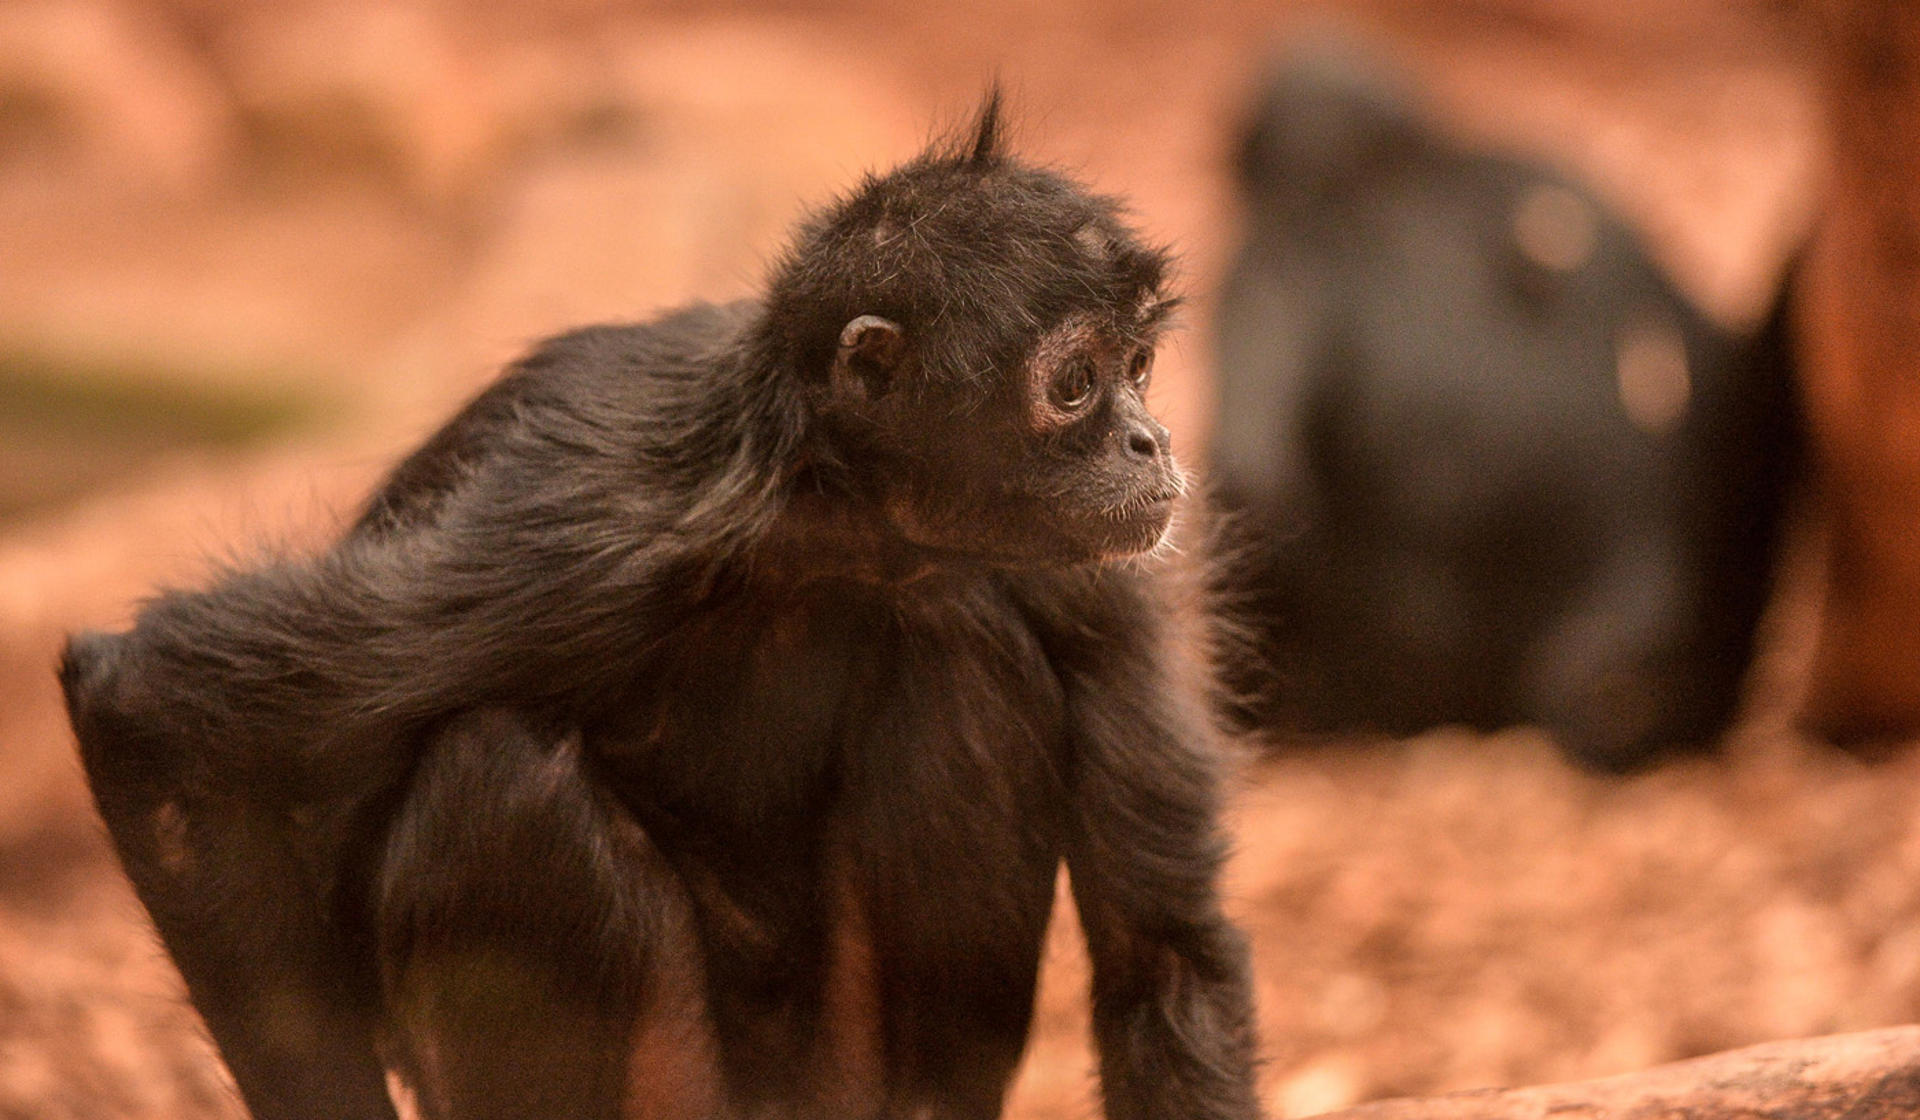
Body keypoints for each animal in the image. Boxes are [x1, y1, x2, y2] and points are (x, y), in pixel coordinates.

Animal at [58, 97, 1264, 1120]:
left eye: (1141, 366)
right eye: (1075, 383)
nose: (1150, 442)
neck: (843, 531)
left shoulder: (1098, 569)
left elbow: (1165, 952)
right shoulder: (585, 524)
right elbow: (144, 700)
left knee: (963, 650)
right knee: (504, 775)